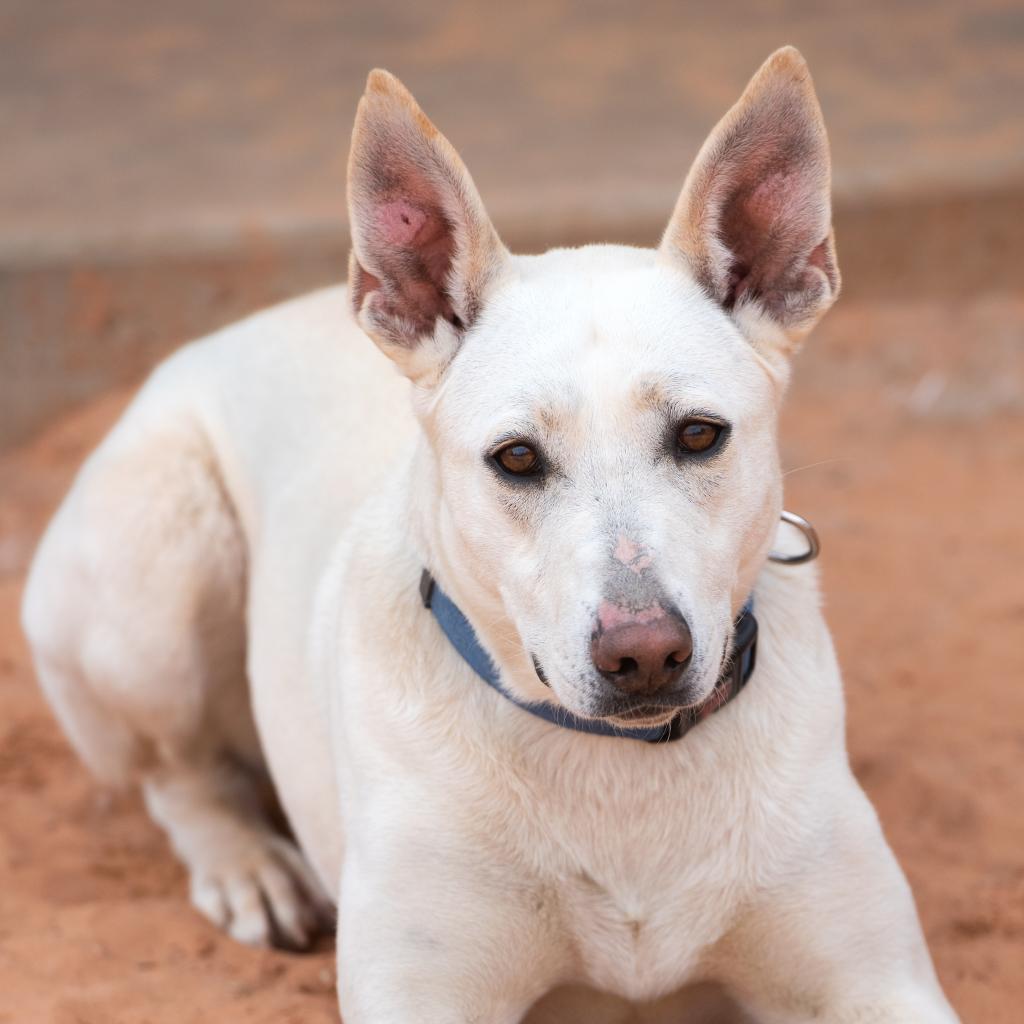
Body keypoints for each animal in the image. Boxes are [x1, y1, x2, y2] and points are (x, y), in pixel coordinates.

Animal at [22, 48, 958, 1024]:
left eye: (701, 435)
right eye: (516, 457)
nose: (645, 655)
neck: (620, 767)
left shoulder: (876, 979)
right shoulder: (420, 991)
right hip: (160, 570)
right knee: (176, 775)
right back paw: (249, 869)